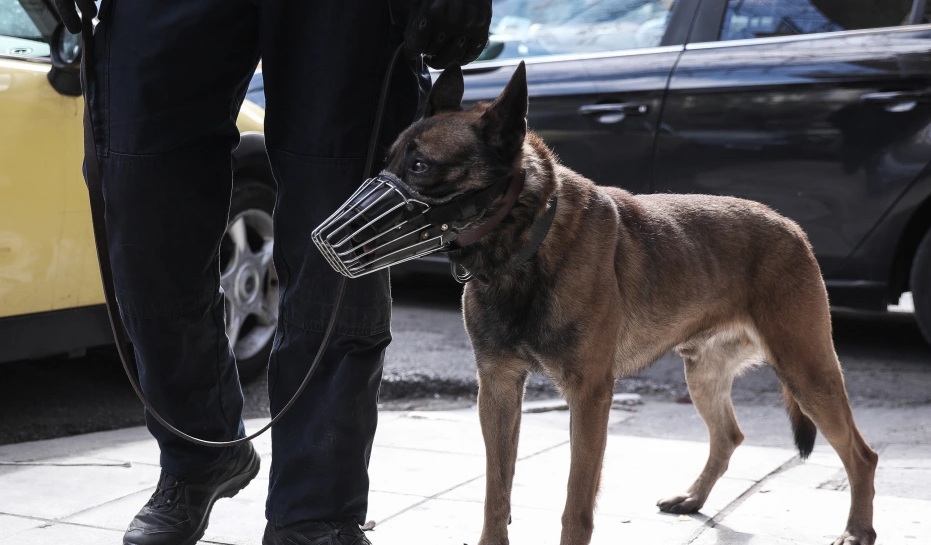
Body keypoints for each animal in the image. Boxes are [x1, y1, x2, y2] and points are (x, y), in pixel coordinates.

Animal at [382, 62, 876, 544]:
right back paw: (694, 498)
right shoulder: (499, 389)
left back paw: (857, 530)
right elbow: (496, 493)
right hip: (704, 375)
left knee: (861, 454)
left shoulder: (589, 396)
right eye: (389, 158)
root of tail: (792, 227)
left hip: (807, 373)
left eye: (420, 165)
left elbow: (576, 508)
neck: (528, 242)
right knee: (729, 437)